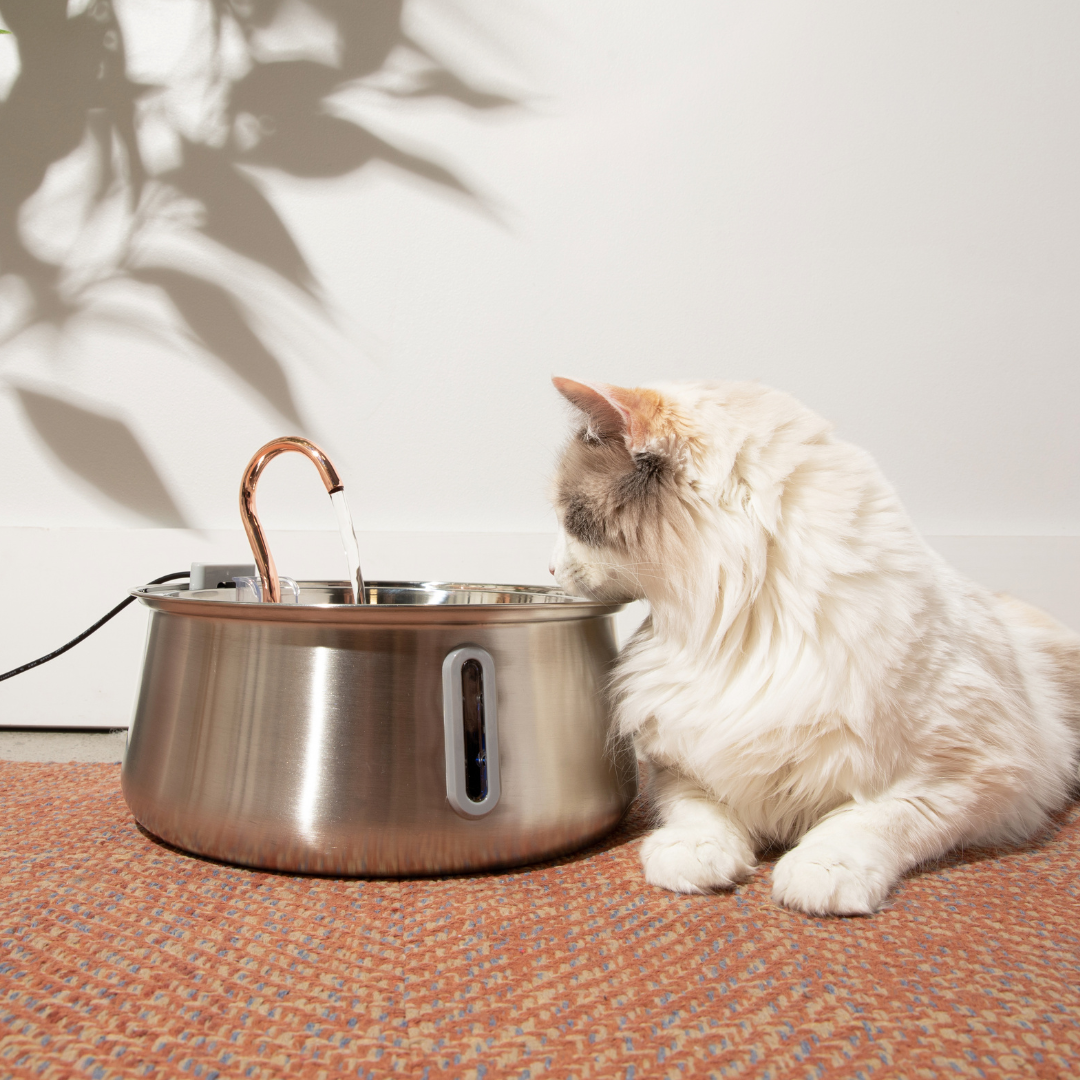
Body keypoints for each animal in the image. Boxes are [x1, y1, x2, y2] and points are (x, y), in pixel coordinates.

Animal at [548, 375, 1080, 915]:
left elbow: (877, 818)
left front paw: (822, 871)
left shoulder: (980, 775)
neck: (741, 630)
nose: (549, 568)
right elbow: (697, 810)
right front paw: (696, 856)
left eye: (569, 517)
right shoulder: (678, 760)